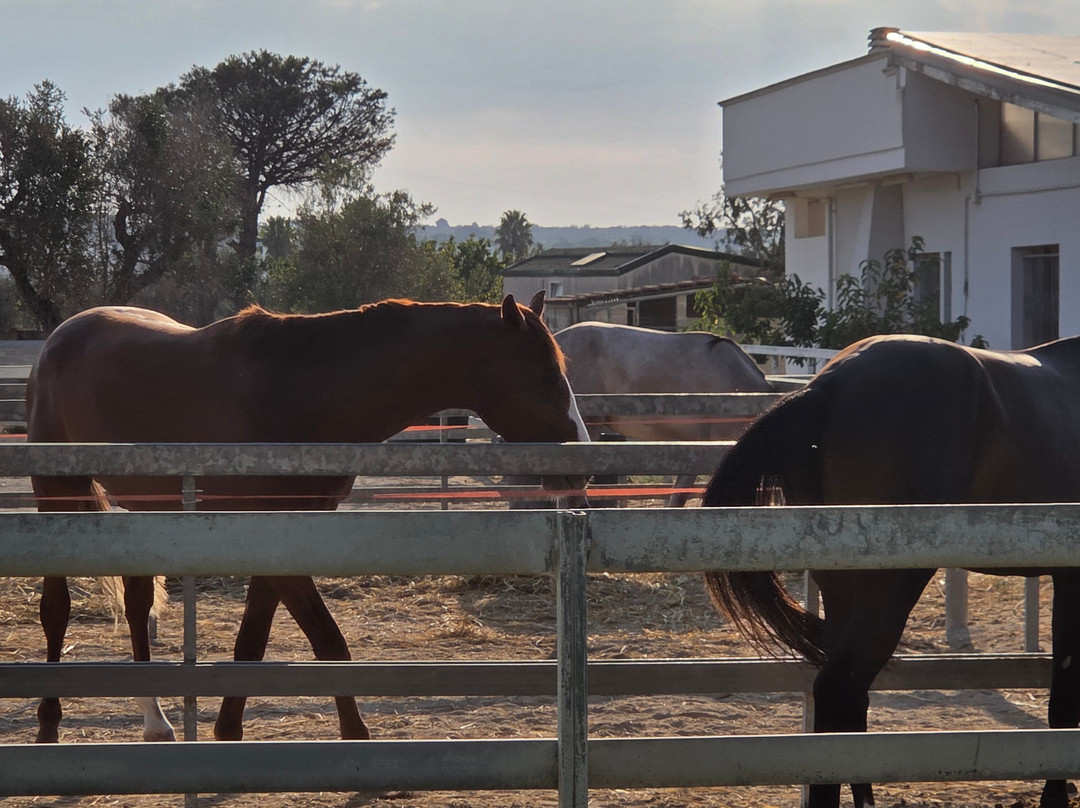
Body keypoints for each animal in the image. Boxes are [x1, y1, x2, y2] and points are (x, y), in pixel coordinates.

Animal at [26, 291, 590, 745]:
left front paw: (228, 732)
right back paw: (49, 723)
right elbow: (328, 640)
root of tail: (61, 336)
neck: (302, 396)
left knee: (138, 601)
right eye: (545, 373)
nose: (581, 465)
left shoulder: (288, 534)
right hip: (56, 494)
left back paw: (155, 721)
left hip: (144, 509)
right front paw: (356, 736)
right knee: (56, 608)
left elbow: (252, 642)